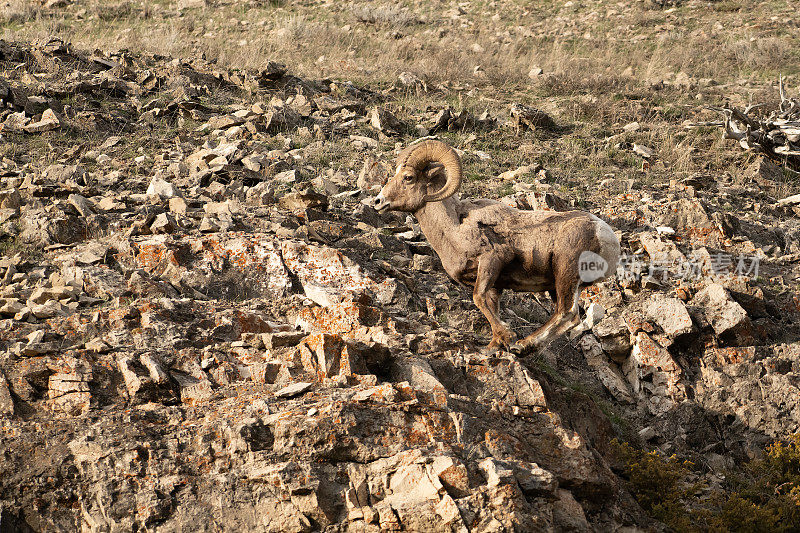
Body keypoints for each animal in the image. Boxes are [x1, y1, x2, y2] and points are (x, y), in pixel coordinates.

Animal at [372, 139, 620, 352]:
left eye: (408, 177)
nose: (378, 202)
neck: (454, 228)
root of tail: (605, 236)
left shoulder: (492, 260)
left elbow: (477, 298)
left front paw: (508, 337)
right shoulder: (495, 285)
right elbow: (491, 306)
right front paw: (494, 345)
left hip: (565, 273)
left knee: (567, 314)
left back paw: (523, 346)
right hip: (559, 285)